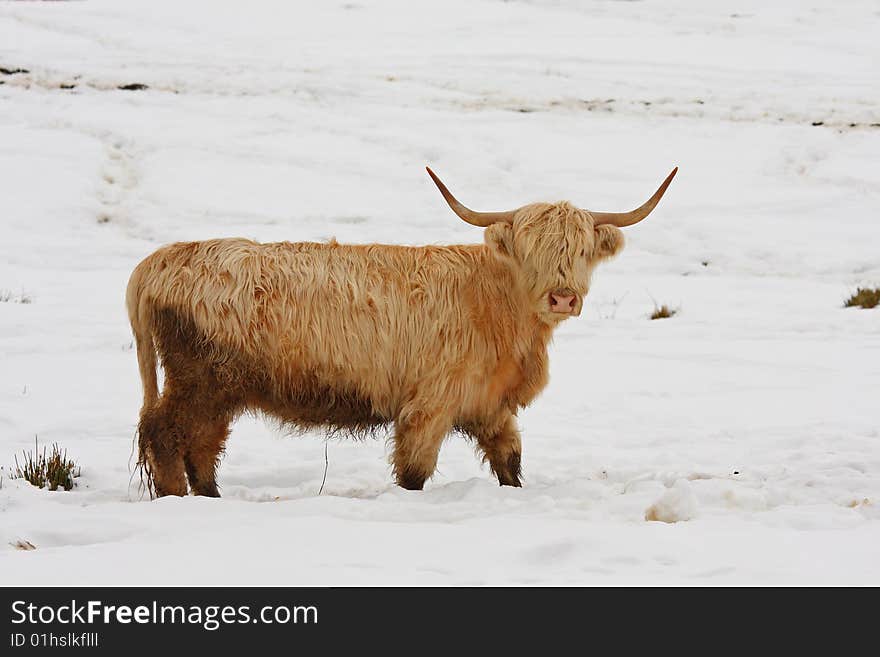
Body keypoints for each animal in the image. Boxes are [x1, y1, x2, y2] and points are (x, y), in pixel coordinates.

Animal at [127, 167, 676, 494]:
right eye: (531, 248)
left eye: (581, 249)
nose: (562, 297)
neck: (498, 306)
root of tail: (159, 261)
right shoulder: (428, 404)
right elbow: (414, 471)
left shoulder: (490, 404)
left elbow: (510, 462)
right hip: (198, 379)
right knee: (165, 435)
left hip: (221, 389)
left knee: (202, 445)